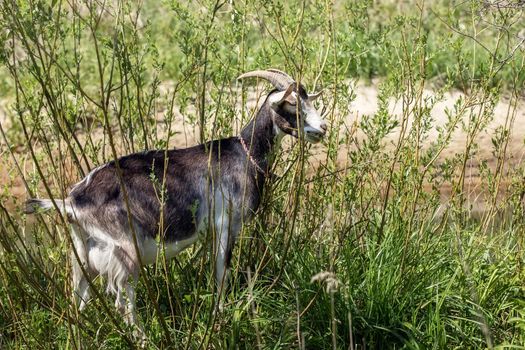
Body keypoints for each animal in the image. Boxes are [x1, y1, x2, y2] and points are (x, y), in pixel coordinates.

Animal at [25, 67, 328, 336]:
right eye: (292, 104)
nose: (322, 128)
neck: (244, 152)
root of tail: (72, 201)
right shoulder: (226, 223)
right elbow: (222, 272)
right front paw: (220, 317)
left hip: (82, 254)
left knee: (78, 298)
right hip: (125, 252)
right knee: (123, 302)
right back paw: (144, 339)